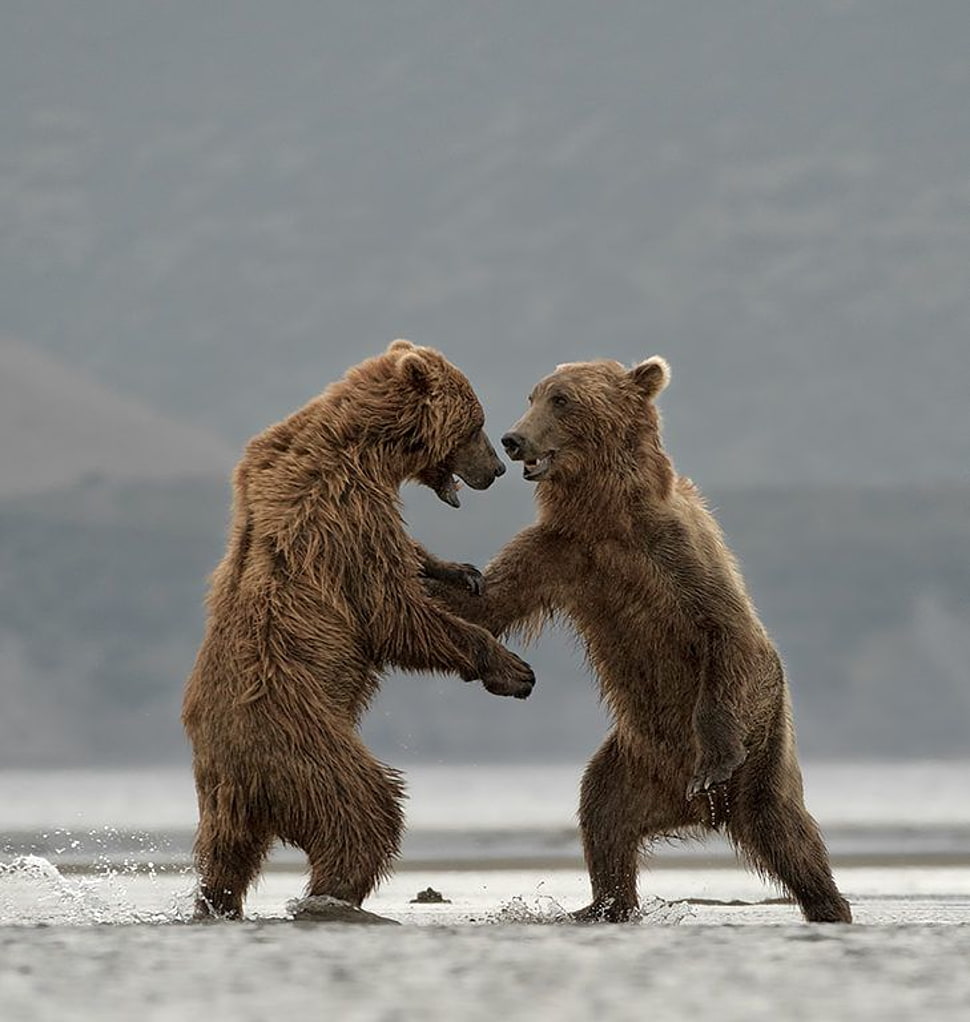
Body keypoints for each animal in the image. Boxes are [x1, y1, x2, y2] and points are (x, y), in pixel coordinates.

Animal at [181, 340, 535, 921]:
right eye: (476, 424)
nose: (498, 467)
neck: (370, 451)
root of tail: (235, 774)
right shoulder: (344, 518)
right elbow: (393, 612)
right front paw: (511, 669)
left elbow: (409, 563)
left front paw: (456, 569)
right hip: (300, 735)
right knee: (362, 808)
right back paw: (338, 892)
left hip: (223, 796)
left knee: (224, 856)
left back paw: (218, 902)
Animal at [427, 356, 852, 924]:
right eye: (533, 395)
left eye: (561, 399)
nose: (513, 439)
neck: (609, 515)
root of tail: (696, 812)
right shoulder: (563, 552)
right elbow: (489, 600)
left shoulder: (677, 555)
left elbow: (723, 630)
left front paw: (713, 762)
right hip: (634, 762)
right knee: (603, 812)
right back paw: (601, 905)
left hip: (764, 737)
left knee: (782, 826)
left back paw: (829, 903)